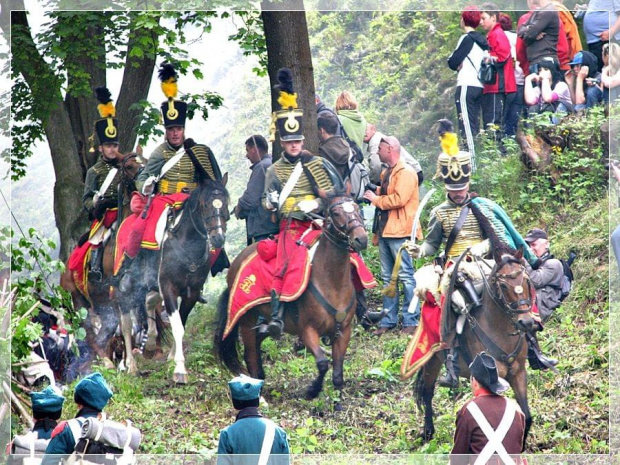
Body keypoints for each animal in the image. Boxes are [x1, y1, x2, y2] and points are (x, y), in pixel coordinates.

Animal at [59, 152, 142, 366]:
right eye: (129, 166)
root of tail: (64, 272)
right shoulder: (120, 292)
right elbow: (127, 325)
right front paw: (131, 365)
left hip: (102, 303)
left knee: (103, 332)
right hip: (79, 303)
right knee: (87, 332)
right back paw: (105, 362)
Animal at [115, 173, 229, 380]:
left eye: (224, 203)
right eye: (205, 205)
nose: (218, 238)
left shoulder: (191, 293)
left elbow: (181, 323)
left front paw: (172, 356)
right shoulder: (169, 288)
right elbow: (177, 326)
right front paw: (179, 368)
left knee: (149, 303)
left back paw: (150, 342)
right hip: (125, 288)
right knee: (126, 324)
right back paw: (130, 365)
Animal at [214, 185, 368, 398]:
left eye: (356, 207)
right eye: (336, 213)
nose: (361, 239)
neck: (332, 282)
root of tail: (236, 264)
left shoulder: (343, 331)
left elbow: (338, 373)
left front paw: (337, 402)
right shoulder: (307, 331)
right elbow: (322, 363)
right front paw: (312, 390)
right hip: (246, 320)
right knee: (250, 354)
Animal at [414, 246, 536, 450]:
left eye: (526, 281)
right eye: (503, 286)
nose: (526, 322)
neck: (499, 329)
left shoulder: (518, 373)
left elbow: (526, 416)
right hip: (432, 361)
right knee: (427, 392)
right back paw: (428, 430)